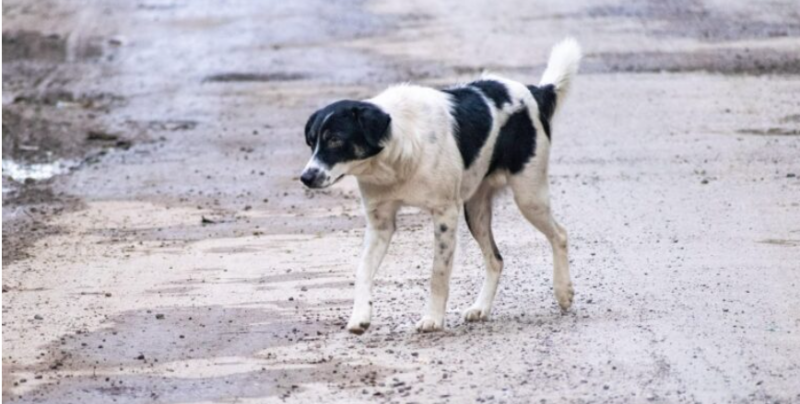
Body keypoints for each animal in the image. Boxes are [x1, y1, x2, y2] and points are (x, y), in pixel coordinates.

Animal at [300, 38, 580, 334]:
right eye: (311, 141)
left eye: (334, 140)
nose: (305, 177)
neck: (394, 155)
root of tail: (534, 91)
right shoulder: (380, 224)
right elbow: (362, 270)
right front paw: (360, 316)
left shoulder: (445, 214)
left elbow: (438, 273)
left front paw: (432, 318)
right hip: (476, 210)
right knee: (495, 259)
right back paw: (481, 307)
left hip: (529, 195)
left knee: (559, 235)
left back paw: (563, 291)